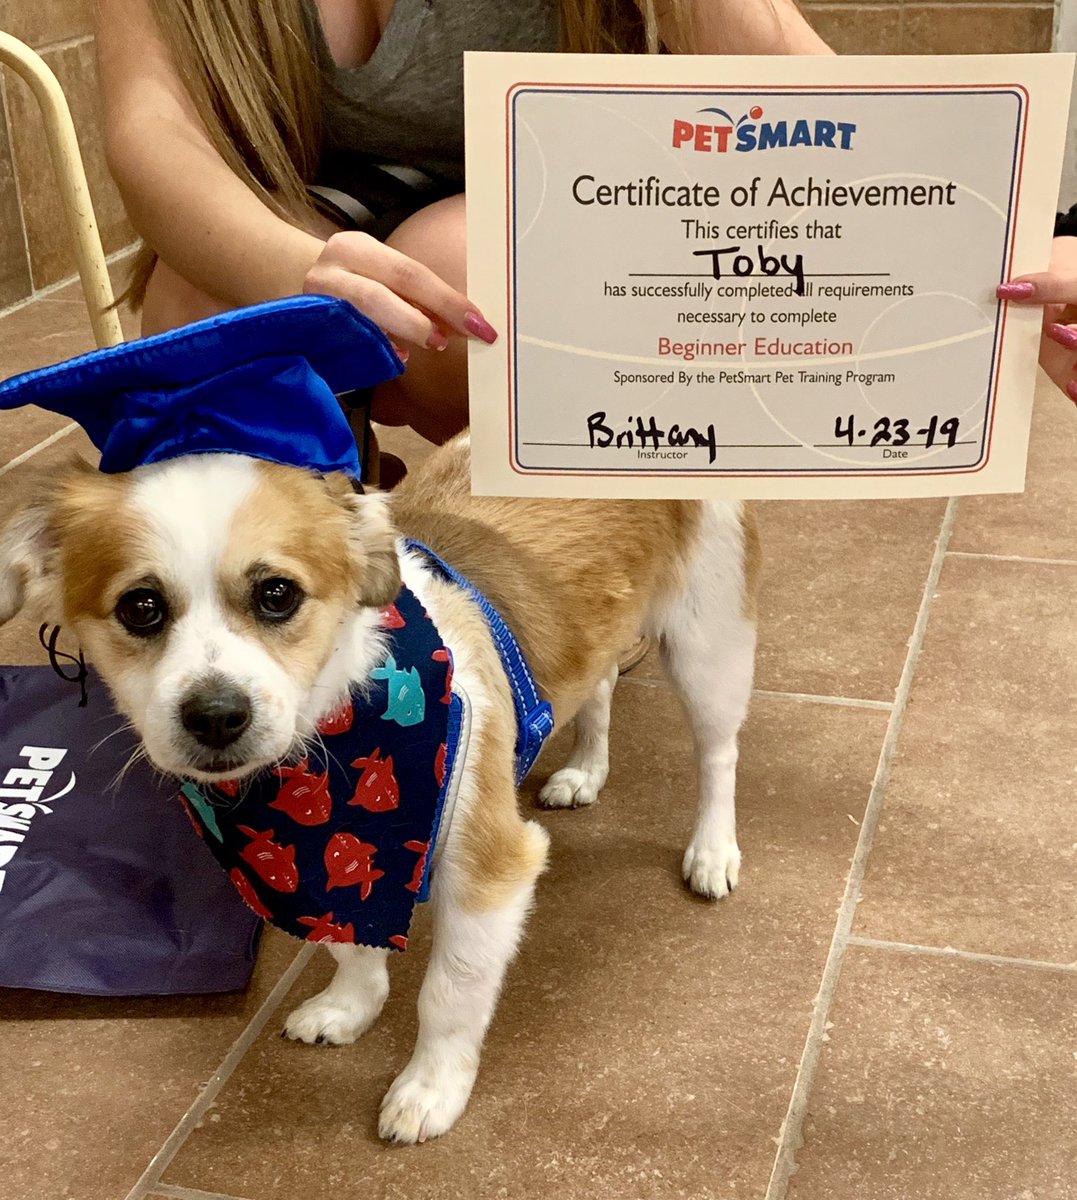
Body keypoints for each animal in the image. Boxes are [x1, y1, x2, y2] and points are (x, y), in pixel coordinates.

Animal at [0, 434, 757, 1142]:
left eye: (277, 594)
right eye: (141, 608)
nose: (215, 715)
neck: (325, 759)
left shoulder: (491, 872)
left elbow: (449, 993)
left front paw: (431, 1087)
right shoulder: (316, 873)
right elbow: (349, 942)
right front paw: (349, 1006)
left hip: (708, 642)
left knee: (719, 753)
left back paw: (712, 850)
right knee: (598, 682)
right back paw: (585, 771)